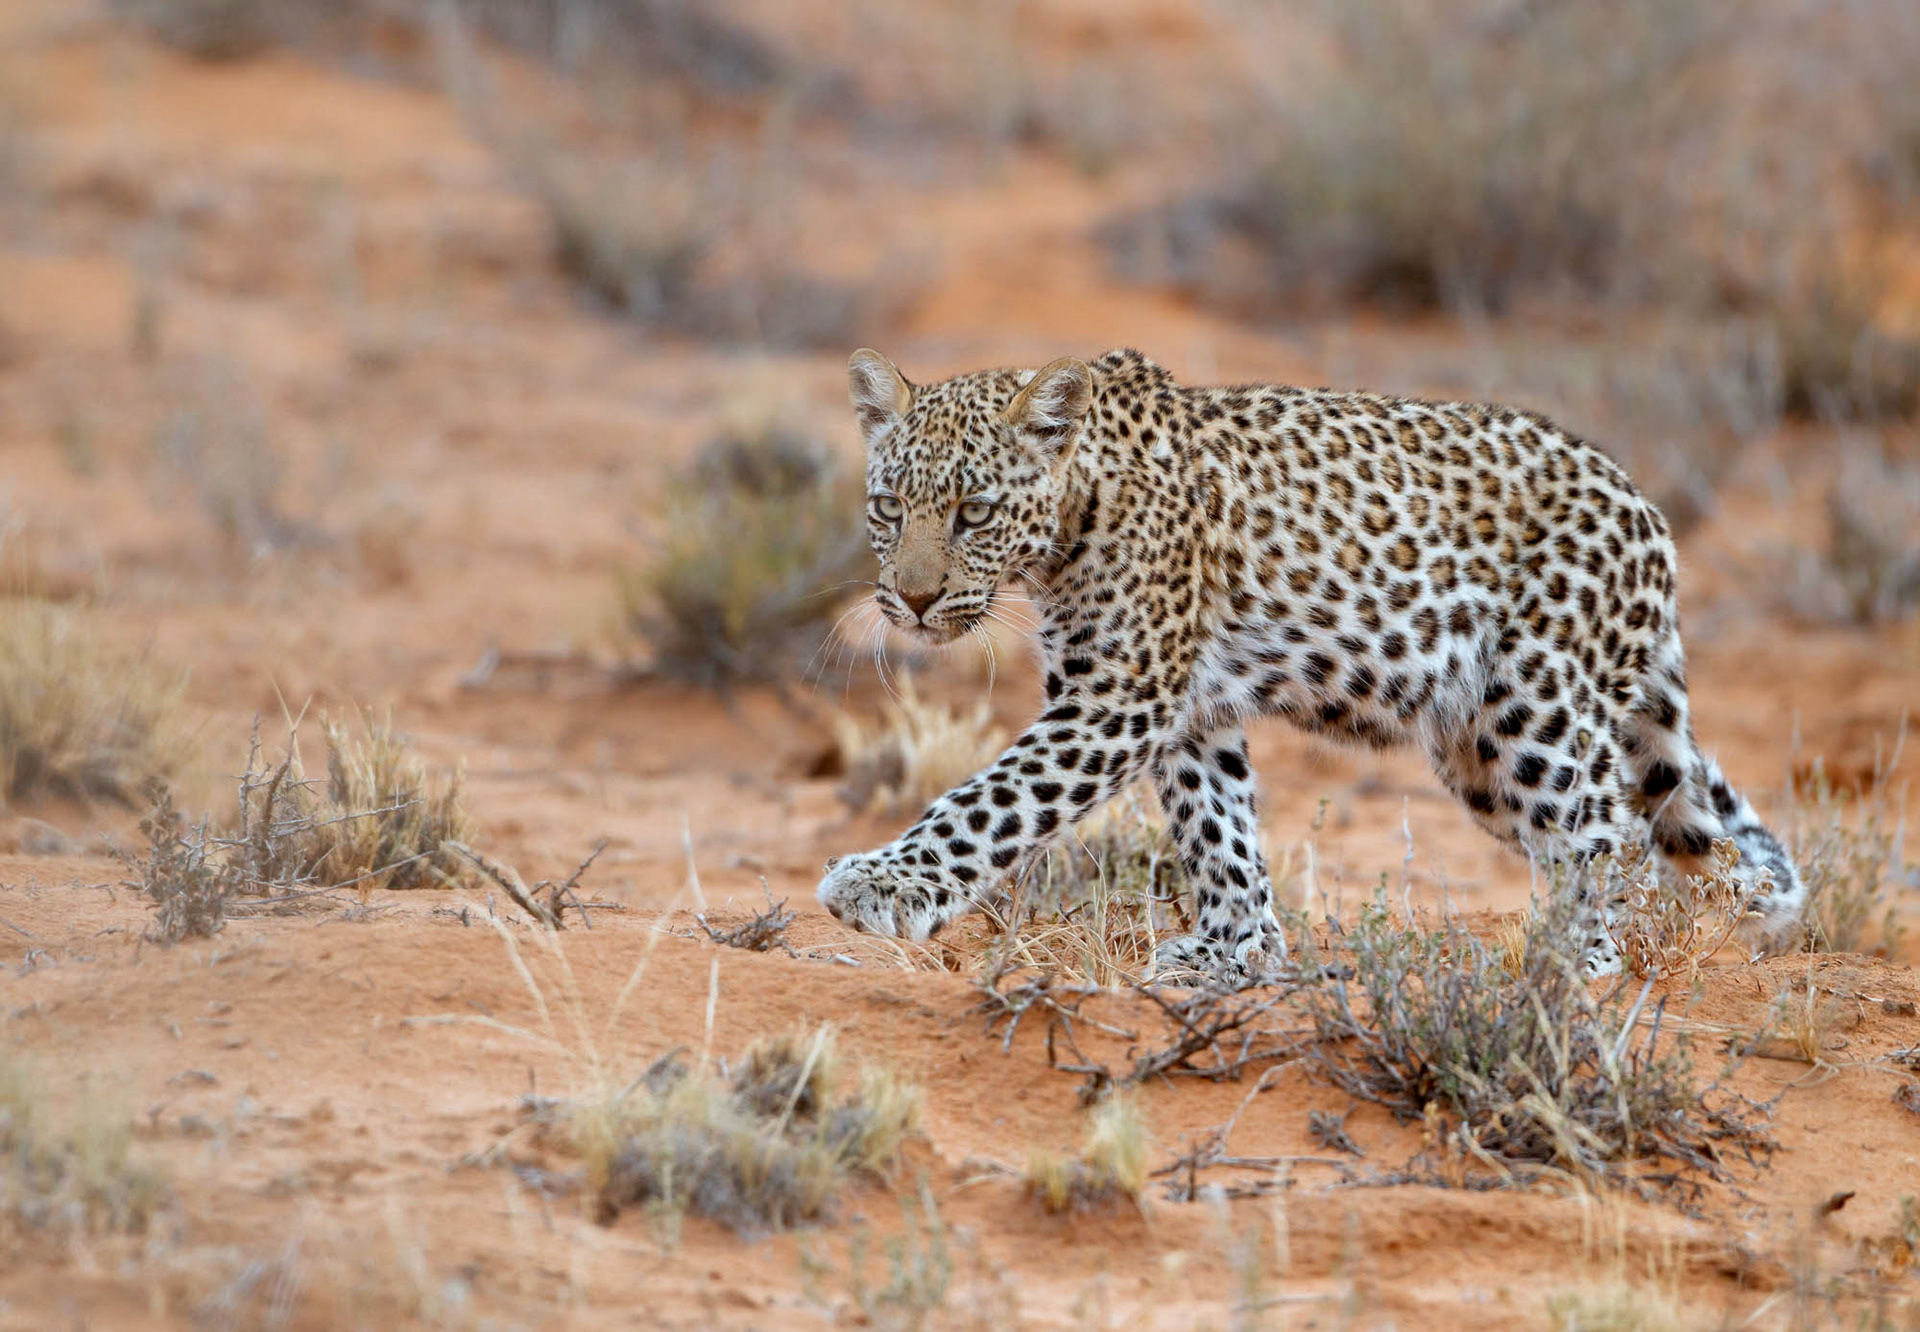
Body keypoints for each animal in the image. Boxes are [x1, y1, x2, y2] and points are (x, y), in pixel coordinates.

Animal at [816, 346, 1805, 983]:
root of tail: (1646, 508)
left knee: (1610, 836)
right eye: (888, 506)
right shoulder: (1188, 711)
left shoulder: (1116, 700)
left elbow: (992, 802)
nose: (910, 601)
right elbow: (1218, 830)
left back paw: (1578, 960)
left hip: (1536, 713)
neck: (1071, 520)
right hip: (1476, 751)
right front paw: (1236, 949)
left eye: (974, 512)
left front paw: (881, 884)